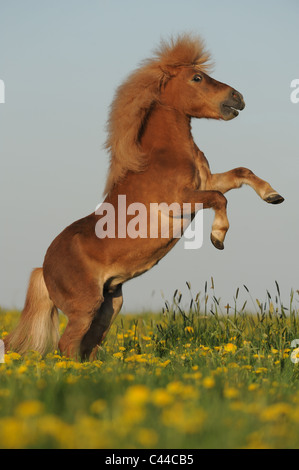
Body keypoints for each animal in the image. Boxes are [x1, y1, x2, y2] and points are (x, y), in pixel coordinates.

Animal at [5, 35, 286, 360]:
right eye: (197, 77)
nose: (238, 98)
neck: (162, 157)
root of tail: (44, 267)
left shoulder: (205, 181)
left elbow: (241, 172)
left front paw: (274, 196)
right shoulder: (181, 202)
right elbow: (219, 198)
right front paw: (218, 237)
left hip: (110, 306)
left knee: (88, 346)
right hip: (85, 308)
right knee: (67, 346)